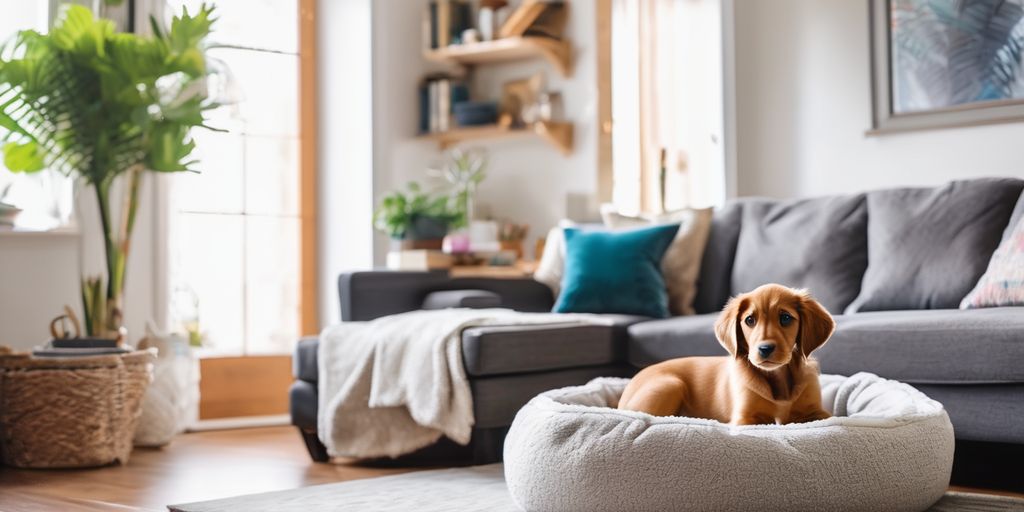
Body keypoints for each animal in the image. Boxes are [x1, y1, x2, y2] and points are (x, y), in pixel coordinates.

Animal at [618, 284, 835, 423]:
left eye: (785, 318)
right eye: (749, 320)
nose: (764, 349)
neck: (778, 378)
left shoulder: (817, 411)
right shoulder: (745, 418)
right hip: (670, 384)